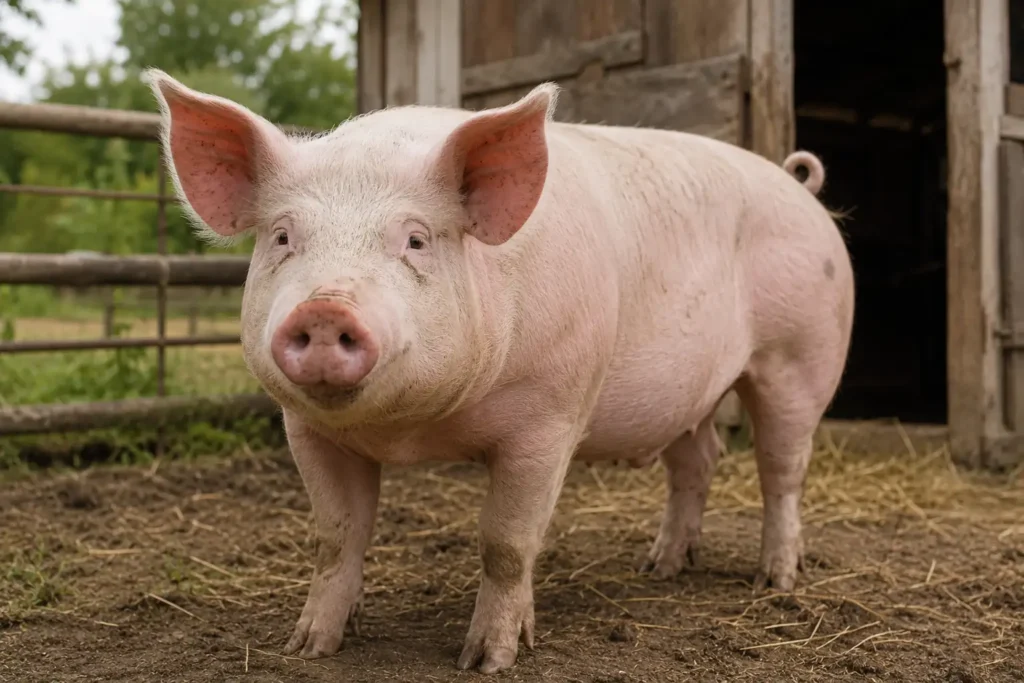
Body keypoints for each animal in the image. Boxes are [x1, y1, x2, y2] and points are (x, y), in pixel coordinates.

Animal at [144, 69, 854, 674]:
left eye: (416, 239)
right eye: (284, 237)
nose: (324, 308)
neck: (412, 432)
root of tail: (800, 187)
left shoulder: (549, 417)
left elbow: (507, 544)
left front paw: (487, 660)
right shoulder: (308, 429)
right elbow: (336, 536)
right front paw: (309, 646)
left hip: (801, 355)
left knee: (781, 468)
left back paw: (775, 580)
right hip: (690, 392)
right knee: (698, 460)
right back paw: (659, 568)